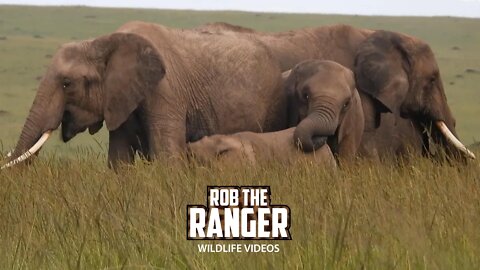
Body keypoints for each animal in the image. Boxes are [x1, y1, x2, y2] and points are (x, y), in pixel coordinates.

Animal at [1, 21, 286, 169]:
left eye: (67, 84)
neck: (106, 41)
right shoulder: (121, 96)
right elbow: (119, 159)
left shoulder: (166, 91)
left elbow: (167, 155)